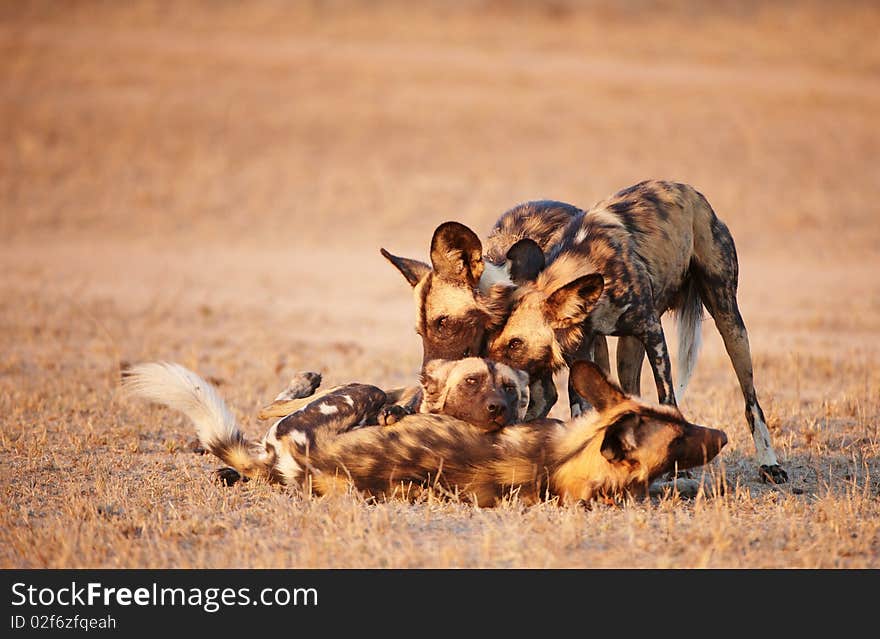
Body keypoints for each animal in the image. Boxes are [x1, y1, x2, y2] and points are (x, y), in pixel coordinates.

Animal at [488, 180, 792, 484]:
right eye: (490, 340)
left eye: (515, 343)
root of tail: (693, 193)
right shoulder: (582, 353)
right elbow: (583, 411)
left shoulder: (652, 333)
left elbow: (667, 399)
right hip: (627, 351)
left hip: (729, 322)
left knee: (751, 401)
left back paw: (769, 464)